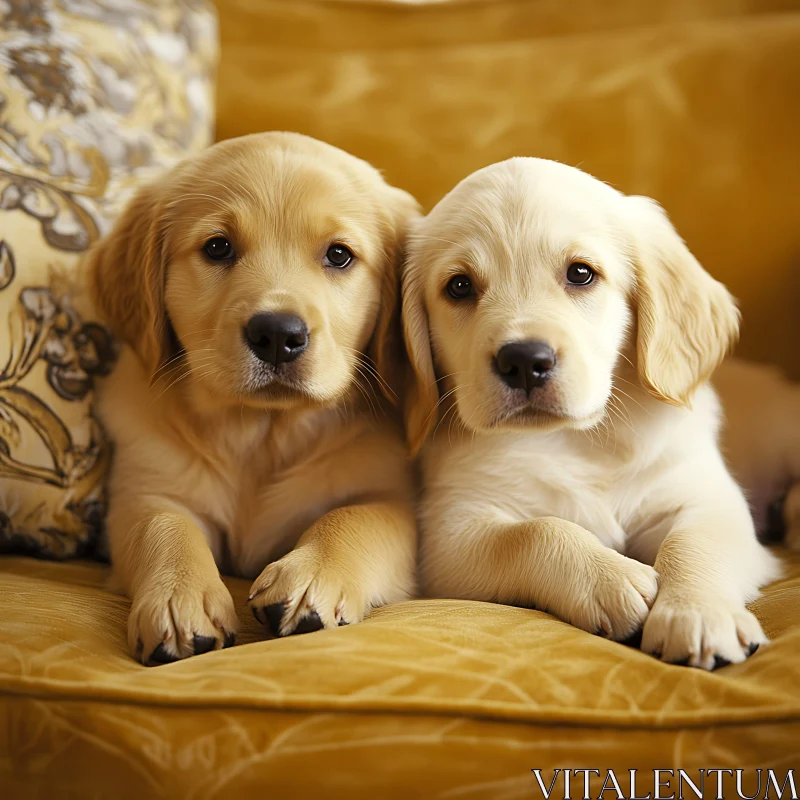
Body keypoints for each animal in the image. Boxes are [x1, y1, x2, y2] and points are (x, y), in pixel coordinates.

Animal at [86, 133, 418, 664]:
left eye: (339, 255)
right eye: (218, 247)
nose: (278, 334)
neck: (260, 433)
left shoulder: (391, 497)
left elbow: (354, 515)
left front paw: (312, 577)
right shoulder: (146, 488)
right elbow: (163, 525)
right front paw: (179, 597)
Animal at [404, 156, 780, 668]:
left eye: (581, 273)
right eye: (459, 286)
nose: (524, 360)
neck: (580, 439)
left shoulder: (704, 497)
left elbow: (694, 543)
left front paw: (697, 614)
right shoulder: (451, 532)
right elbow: (534, 532)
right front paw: (612, 579)